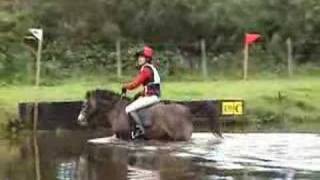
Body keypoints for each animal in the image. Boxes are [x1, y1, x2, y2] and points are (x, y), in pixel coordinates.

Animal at [78, 89, 222, 141]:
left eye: (85, 105)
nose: (79, 119)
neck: (116, 110)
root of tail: (187, 109)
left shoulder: (124, 137)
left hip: (180, 137)